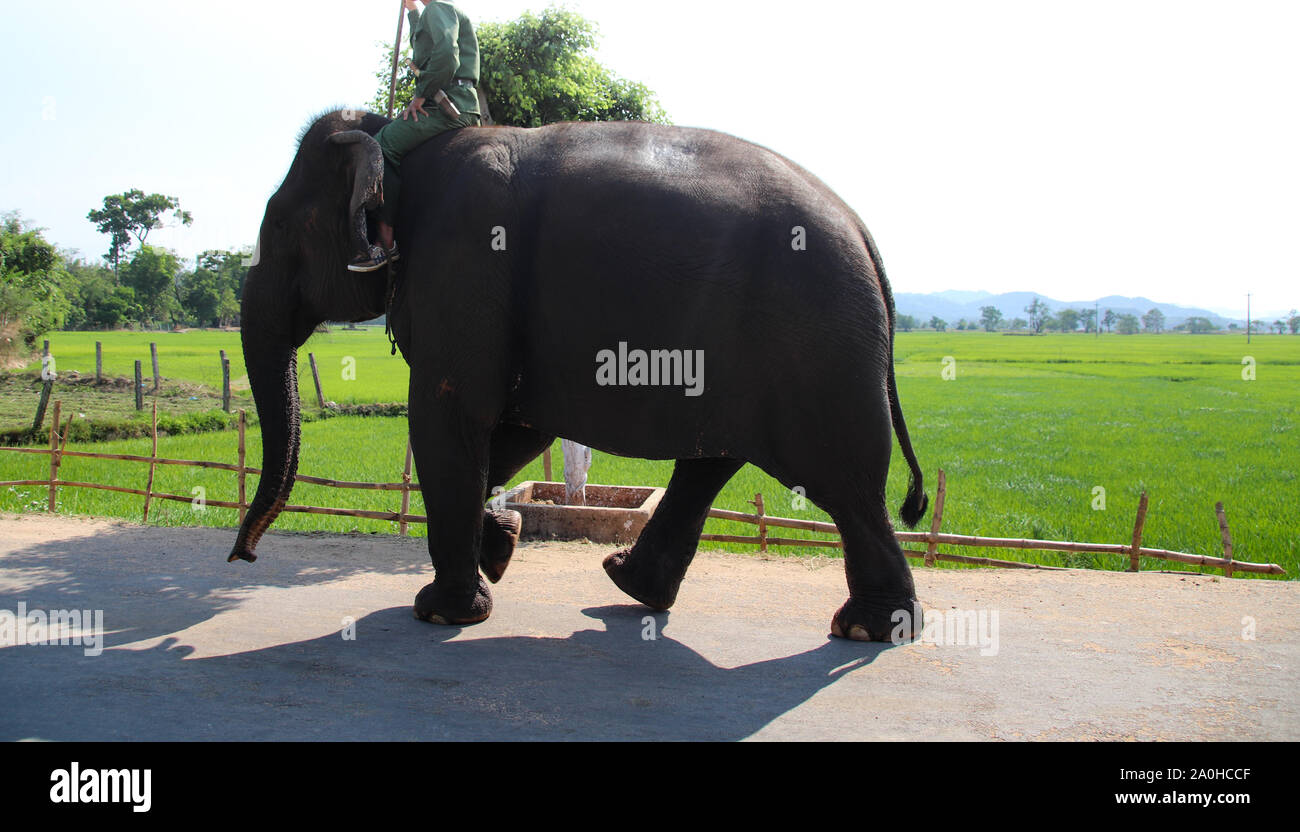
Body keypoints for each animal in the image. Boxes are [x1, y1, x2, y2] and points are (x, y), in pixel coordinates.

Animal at [228, 109, 930, 644]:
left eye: (282, 225)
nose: (243, 556)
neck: (400, 146)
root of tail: (866, 238)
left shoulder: (465, 266)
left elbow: (450, 416)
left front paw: (443, 612)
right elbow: (515, 427)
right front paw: (502, 544)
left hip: (816, 352)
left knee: (847, 485)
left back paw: (869, 630)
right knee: (716, 460)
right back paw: (628, 583)